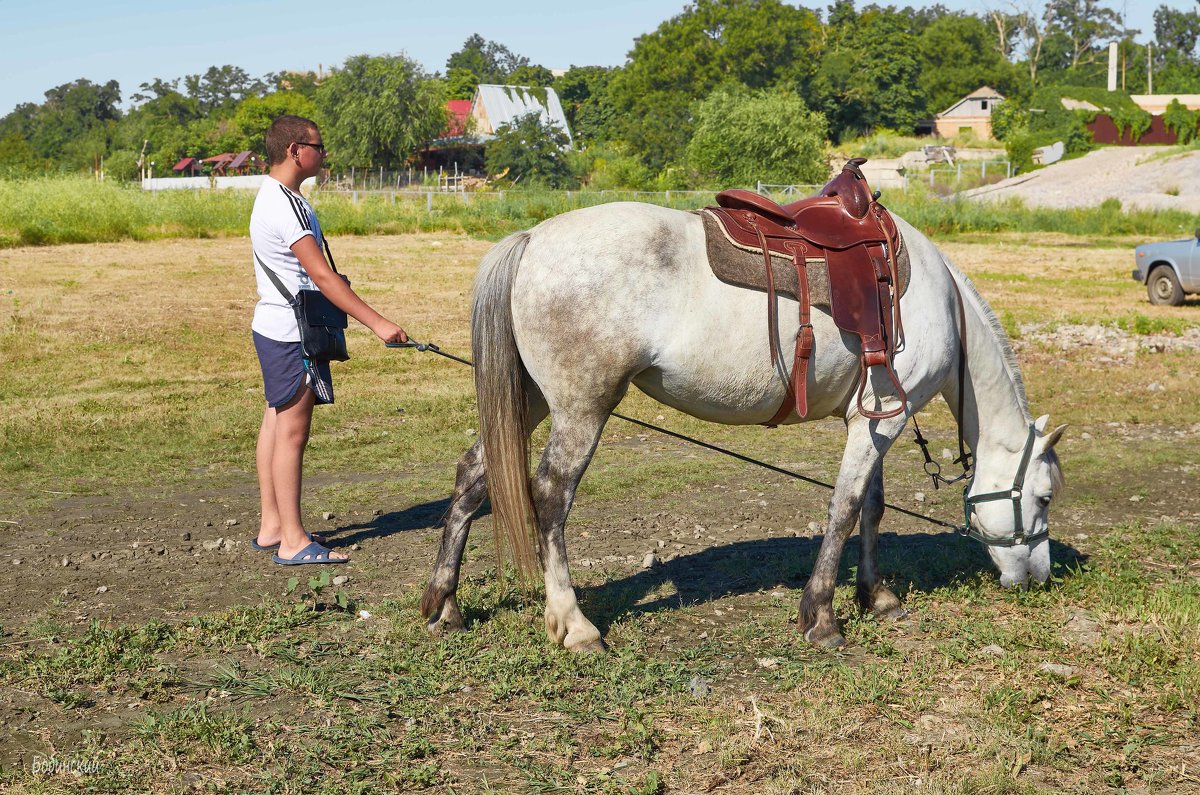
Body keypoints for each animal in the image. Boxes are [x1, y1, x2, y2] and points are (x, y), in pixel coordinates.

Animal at [417, 200, 1065, 653]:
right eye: (1043, 496)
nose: (1036, 578)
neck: (939, 299)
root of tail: (531, 241)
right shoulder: (882, 418)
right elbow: (844, 508)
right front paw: (822, 618)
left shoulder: (874, 417)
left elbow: (871, 507)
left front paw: (876, 595)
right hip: (581, 407)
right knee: (551, 494)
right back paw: (575, 626)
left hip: (529, 399)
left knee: (474, 473)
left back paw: (444, 604)